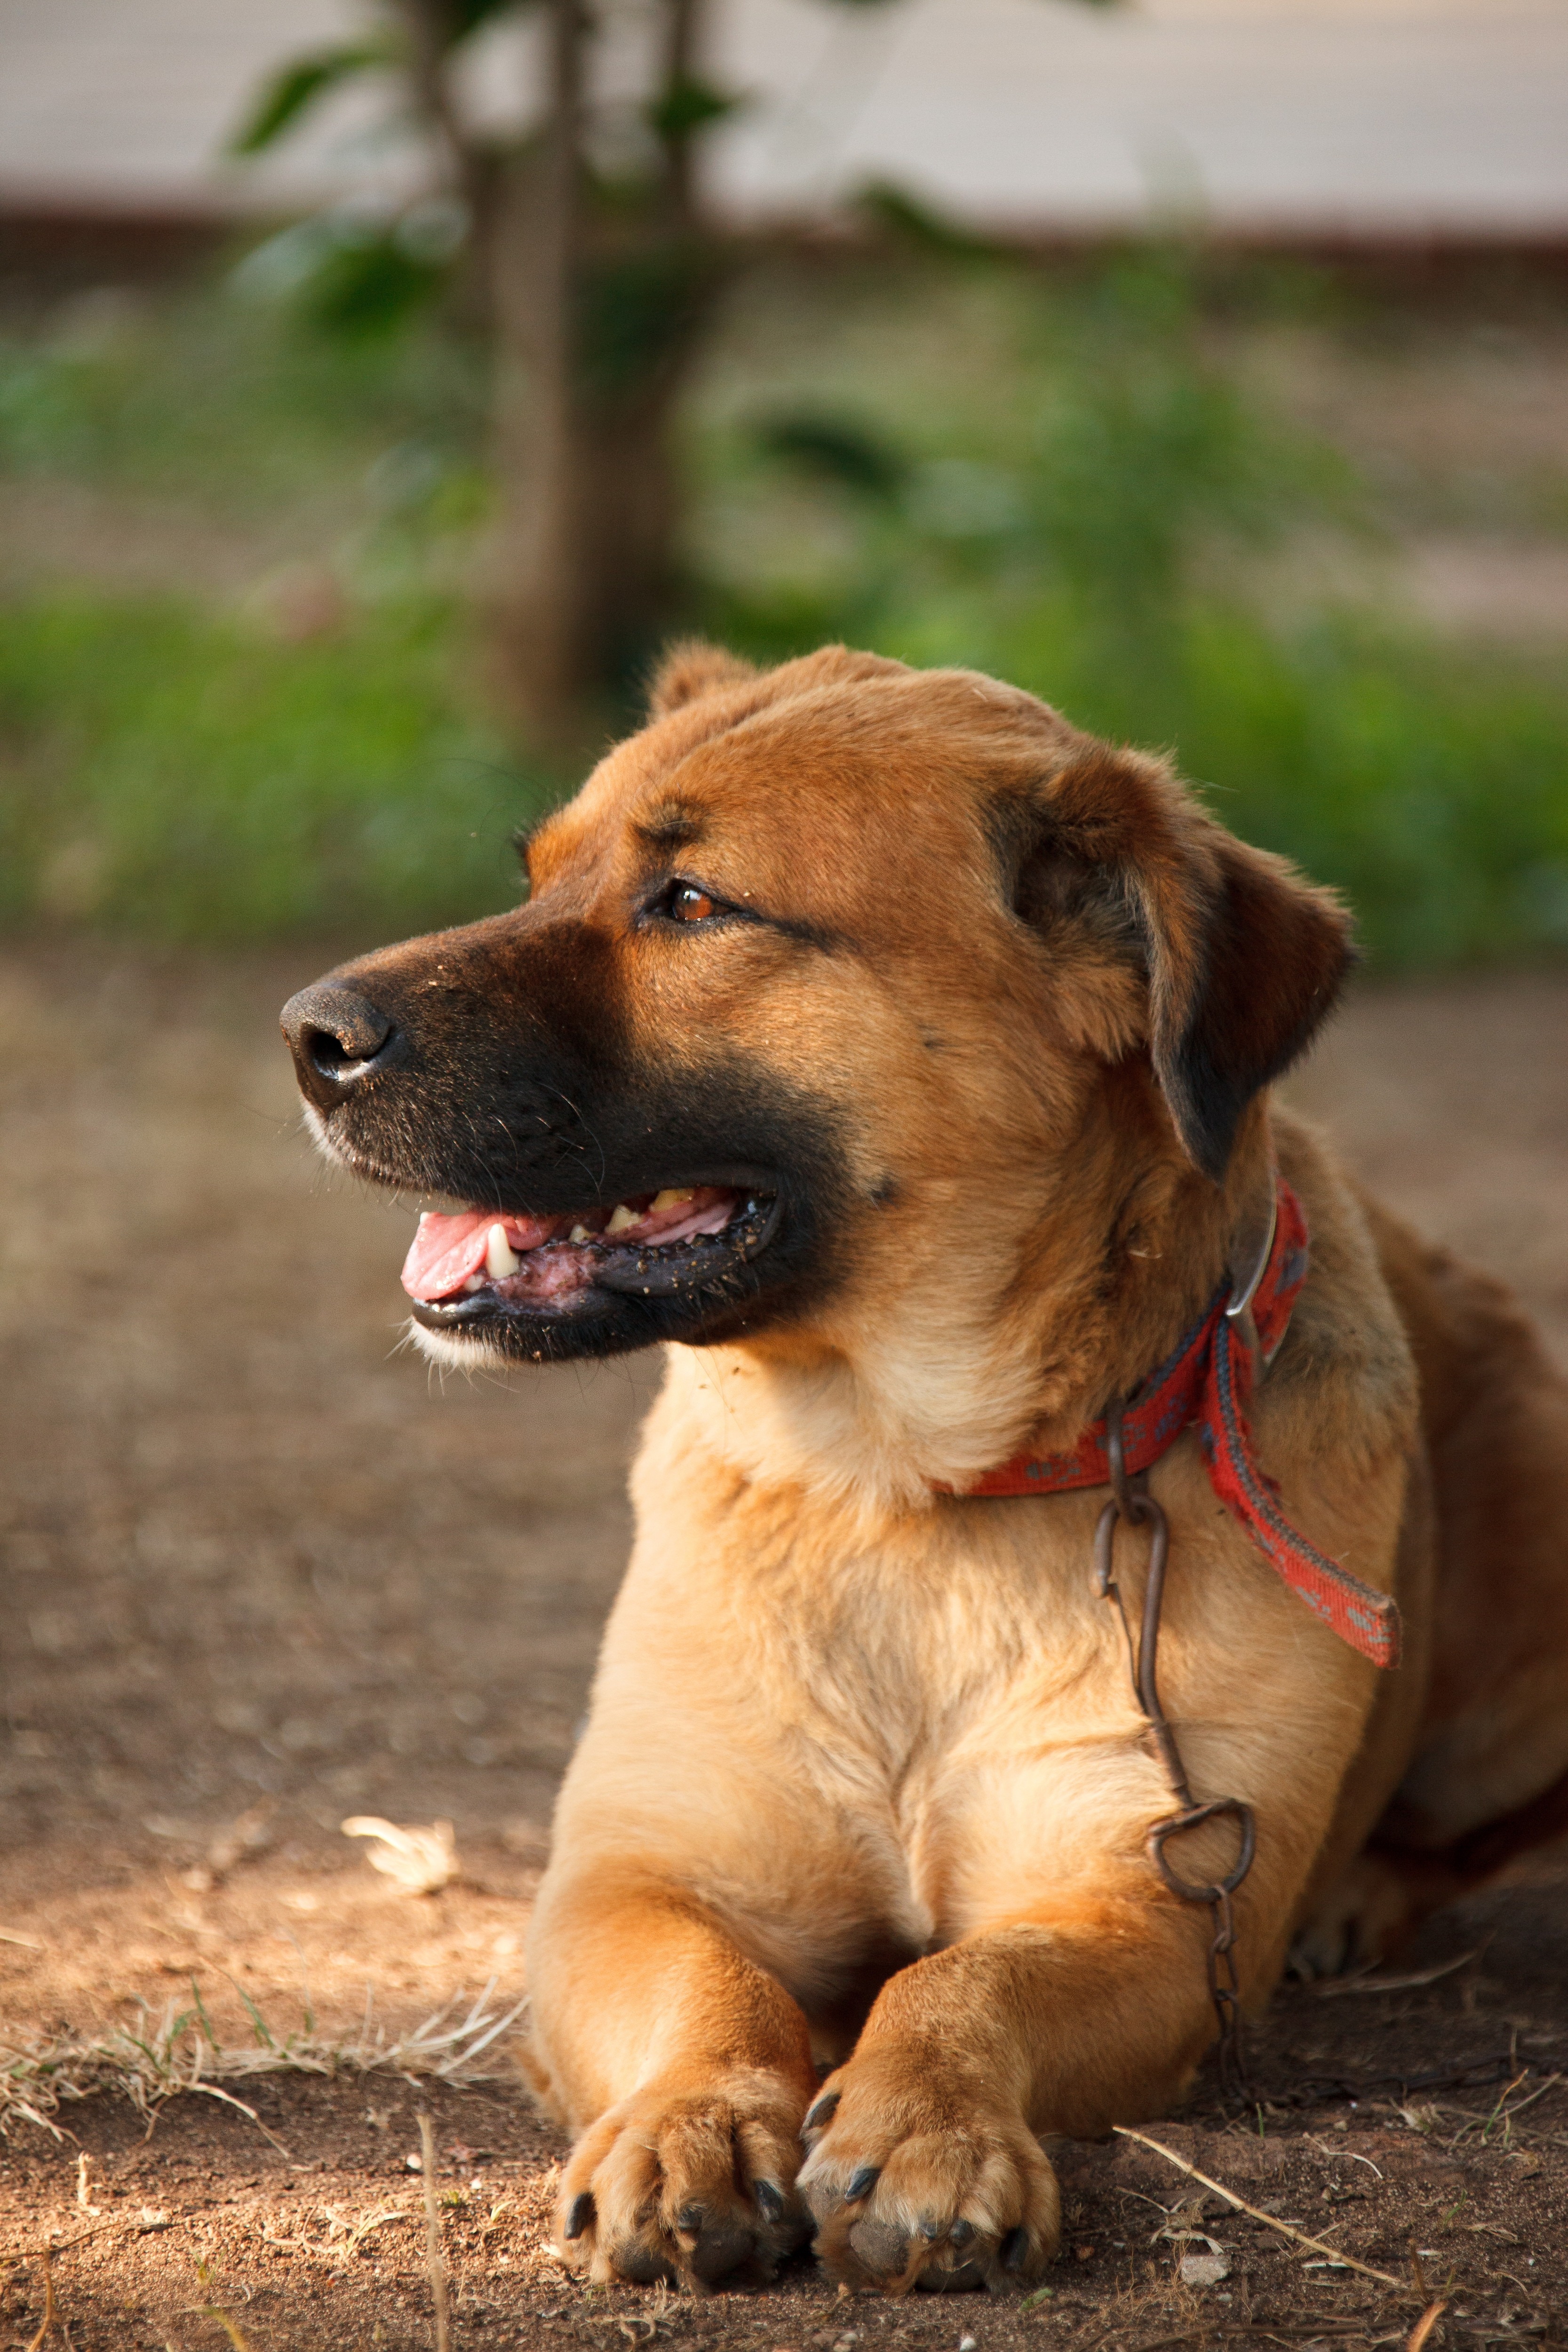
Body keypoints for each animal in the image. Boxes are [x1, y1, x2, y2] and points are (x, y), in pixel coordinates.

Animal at [279, 644, 1568, 2296]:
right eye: (536, 871)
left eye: (691, 903)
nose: (306, 1034)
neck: (901, 1489)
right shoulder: (635, 1878)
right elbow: (710, 1989)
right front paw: (690, 2117)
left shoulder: (1145, 1896)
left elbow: (964, 1978)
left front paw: (928, 2129)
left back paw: (1349, 1895)